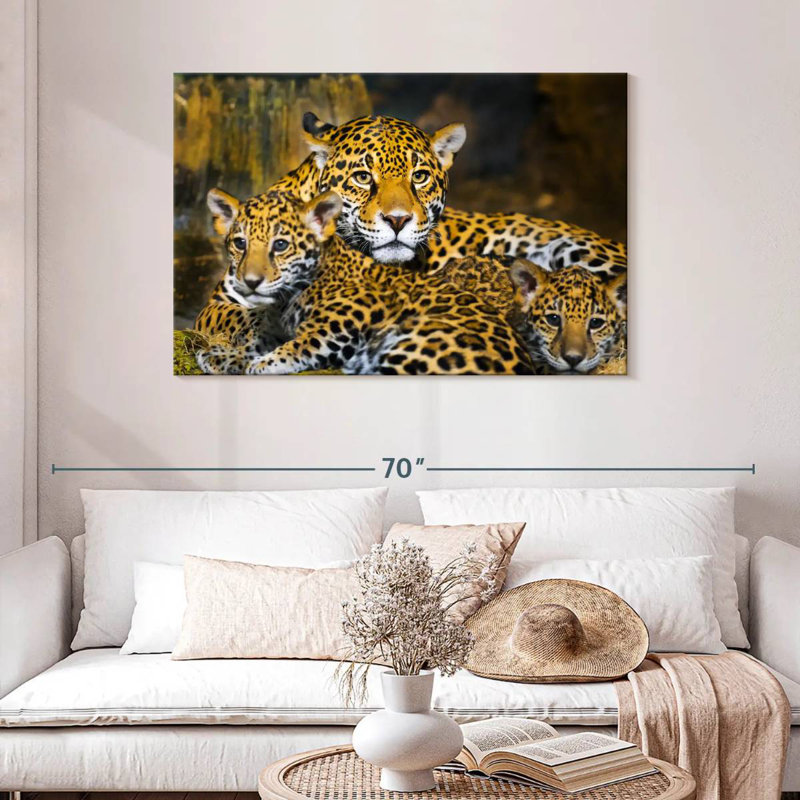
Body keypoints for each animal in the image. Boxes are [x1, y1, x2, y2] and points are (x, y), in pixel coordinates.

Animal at [242, 190, 535, 376]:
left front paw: (262, 363)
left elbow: (299, 346)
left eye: (280, 245)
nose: (251, 281)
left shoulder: (337, 329)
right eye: (239, 244)